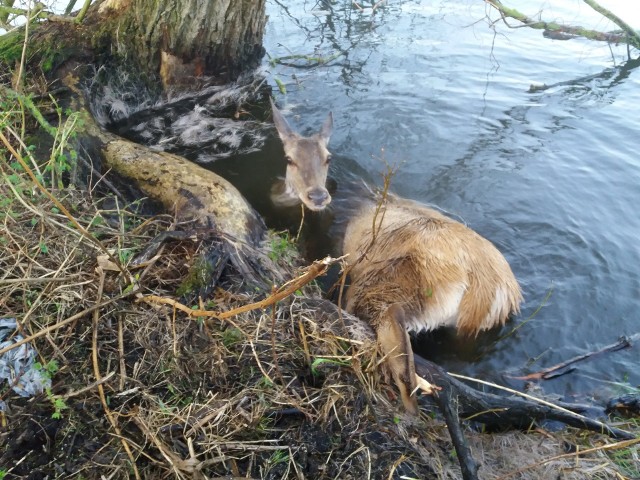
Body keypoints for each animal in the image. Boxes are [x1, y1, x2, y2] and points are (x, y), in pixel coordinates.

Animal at [268, 99, 524, 414]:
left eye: (327, 158)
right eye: (290, 158)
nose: (317, 196)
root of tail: (489, 292)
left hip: (394, 285)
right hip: (469, 330)